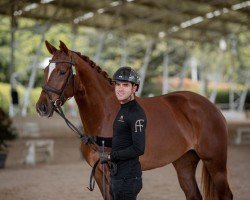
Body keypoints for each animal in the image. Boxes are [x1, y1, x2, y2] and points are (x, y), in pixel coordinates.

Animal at [36, 40, 233, 198]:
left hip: (215, 164)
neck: (105, 114)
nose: (41, 107)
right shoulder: (99, 174)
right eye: (46, 70)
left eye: (62, 72)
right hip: (184, 163)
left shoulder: (113, 175)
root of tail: (211, 107)